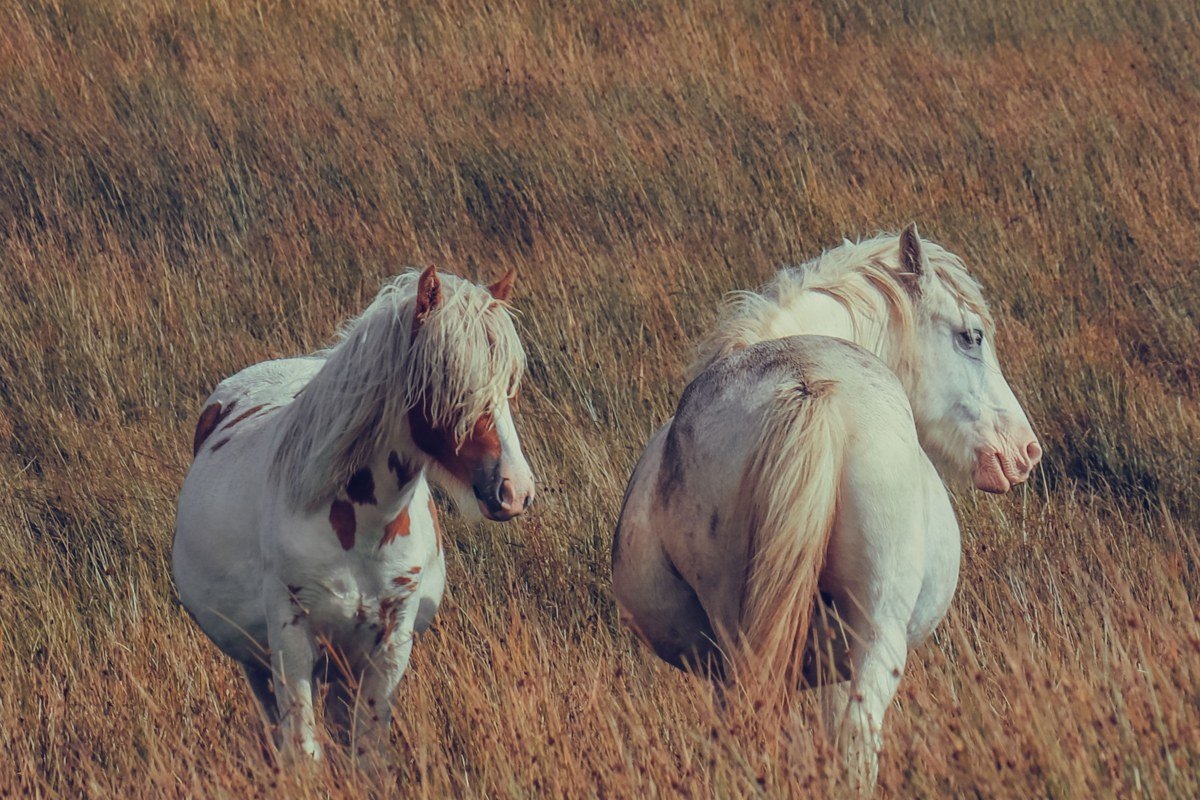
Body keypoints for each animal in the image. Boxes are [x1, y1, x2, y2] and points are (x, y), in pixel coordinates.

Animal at [172, 266, 535, 763]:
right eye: (449, 384)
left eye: (509, 388)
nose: (515, 491)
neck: (360, 530)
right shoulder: (291, 641)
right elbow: (303, 753)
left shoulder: (388, 643)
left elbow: (367, 754)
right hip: (260, 661)